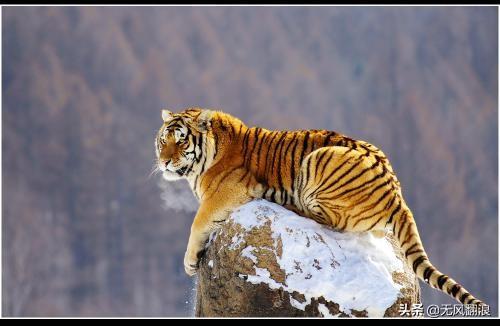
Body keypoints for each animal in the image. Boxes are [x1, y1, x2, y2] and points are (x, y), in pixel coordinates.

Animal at [155, 107, 484, 308]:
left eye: (181, 142)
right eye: (163, 141)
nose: (164, 161)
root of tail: (397, 193)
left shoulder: (227, 191)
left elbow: (198, 222)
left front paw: (189, 262)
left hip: (320, 159)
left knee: (331, 219)